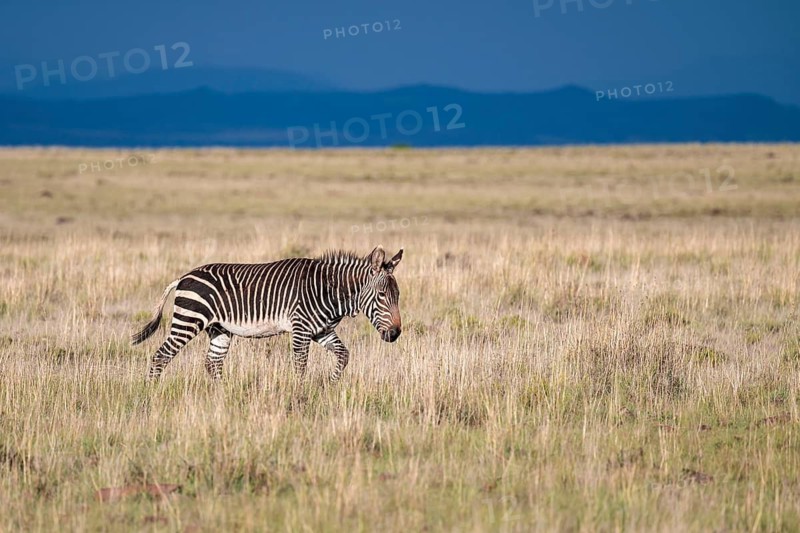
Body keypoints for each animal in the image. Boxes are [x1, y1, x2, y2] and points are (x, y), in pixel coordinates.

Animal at [131, 246, 403, 381]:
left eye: (397, 296)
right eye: (381, 296)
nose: (395, 334)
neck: (327, 289)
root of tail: (183, 277)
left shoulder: (322, 330)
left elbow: (343, 356)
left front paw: (329, 384)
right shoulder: (301, 329)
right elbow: (300, 366)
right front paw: (299, 394)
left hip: (219, 329)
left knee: (212, 362)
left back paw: (222, 396)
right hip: (188, 320)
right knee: (161, 357)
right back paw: (153, 394)